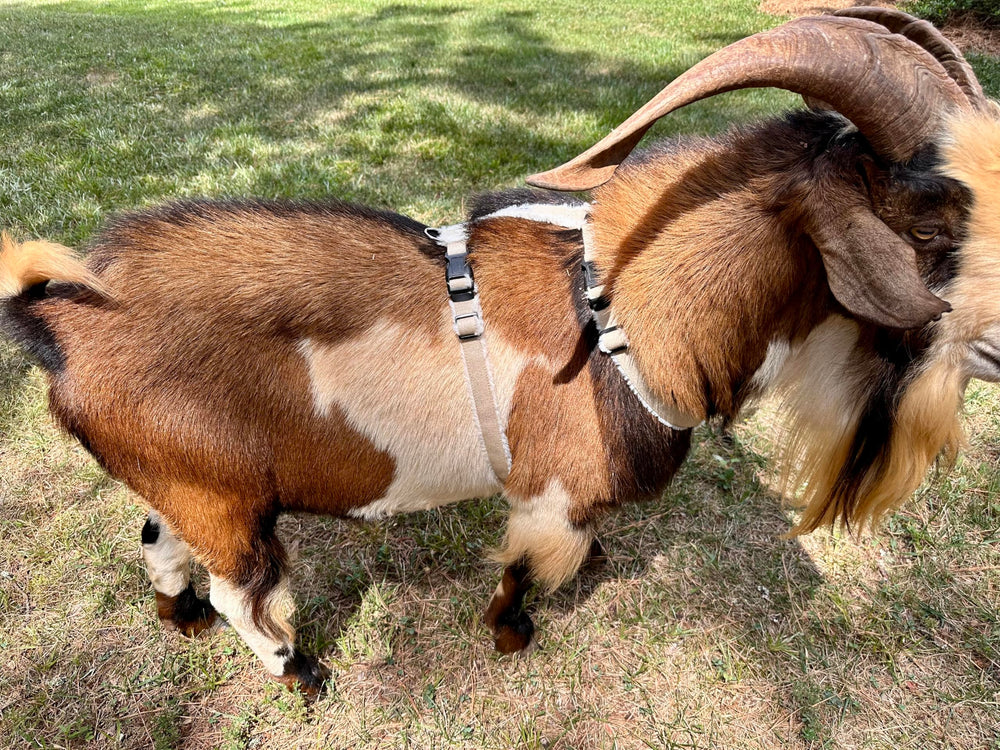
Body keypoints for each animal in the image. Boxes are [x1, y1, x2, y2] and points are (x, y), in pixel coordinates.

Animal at [2, 9, 1000, 694]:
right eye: (934, 222)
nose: (993, 345)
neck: (626, 308)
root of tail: (61, 319)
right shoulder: (553, 494)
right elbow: (526, 568)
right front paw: (511, 635)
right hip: (229, 502)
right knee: (241, 592)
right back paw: (302, 672)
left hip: (194, 481)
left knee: (160, 543)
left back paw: (178, 622)